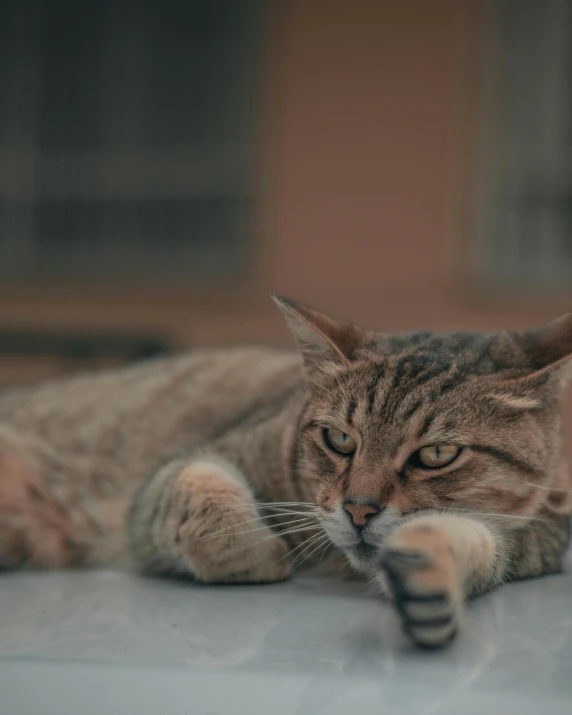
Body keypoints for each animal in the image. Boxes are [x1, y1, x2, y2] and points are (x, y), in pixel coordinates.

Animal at [0, 294, 568, 652]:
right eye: (340, 440)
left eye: (437, 454)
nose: (358, 510)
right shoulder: (184, 466)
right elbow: (204, 503)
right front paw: (259, 550)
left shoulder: (531, 539)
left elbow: (475, 543)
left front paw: (431, 564)